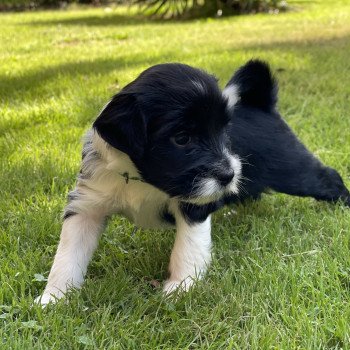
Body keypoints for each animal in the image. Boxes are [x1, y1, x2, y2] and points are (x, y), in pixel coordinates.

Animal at [37, 64, 242, 304]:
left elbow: (189, 245)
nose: (229, 175)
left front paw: (181, 287)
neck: (140, 179)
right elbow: (68, 253)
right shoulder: (88, 203)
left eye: (223, 130)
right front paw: (53, 297)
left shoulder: (194, 203)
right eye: (182, 138)